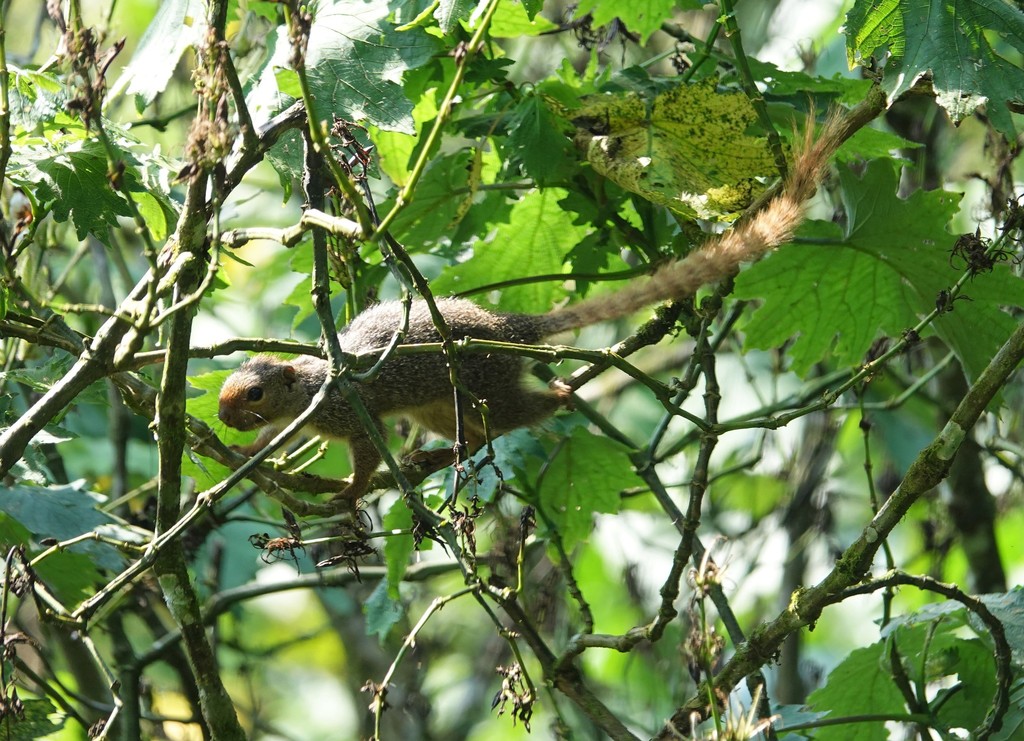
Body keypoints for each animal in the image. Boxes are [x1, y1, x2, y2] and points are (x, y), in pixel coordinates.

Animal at [218, 115, 848, 501]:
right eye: (228, 385)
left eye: (255, 394)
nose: (222, 415)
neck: (310, 388)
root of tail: (504, 328)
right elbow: (276, 444)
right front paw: (245, 452)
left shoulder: (352, 410)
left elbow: (368, 457)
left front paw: (349, 495)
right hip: (442, 407)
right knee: (479, 428)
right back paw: (446, 452)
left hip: (485, 385)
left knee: (522, 412)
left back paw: (560, 396)